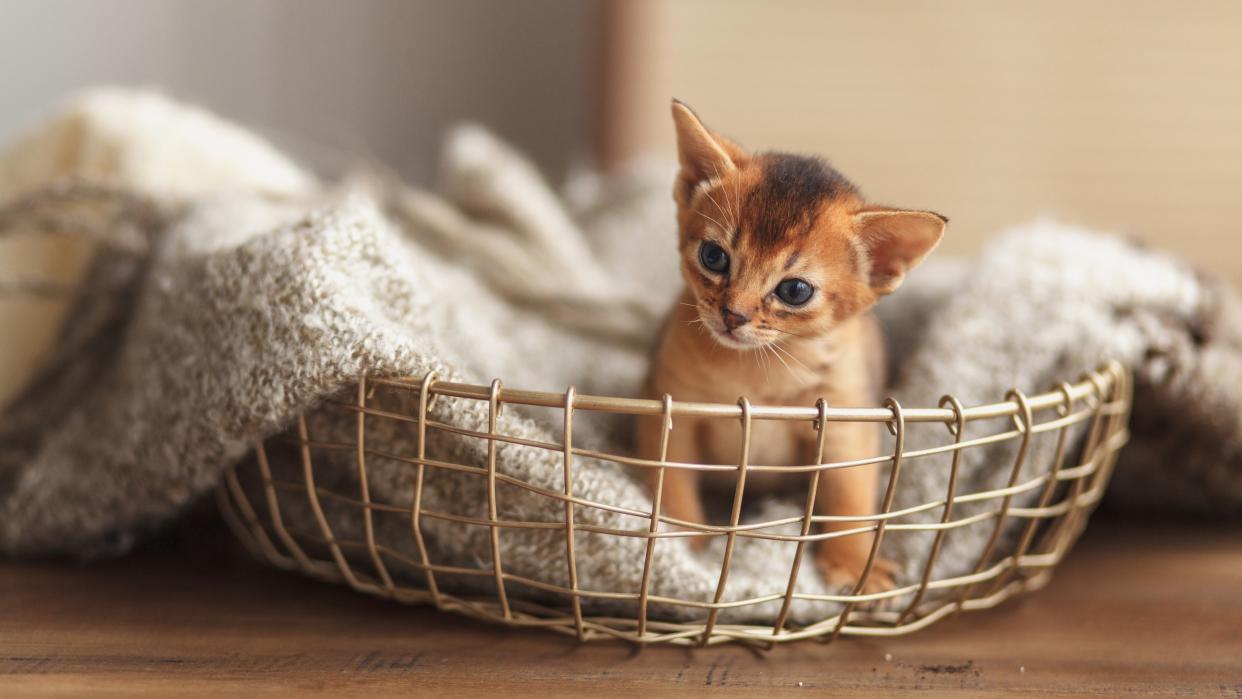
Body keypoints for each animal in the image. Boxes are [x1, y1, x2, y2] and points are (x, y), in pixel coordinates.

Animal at [640, 98, 938, 590]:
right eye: (713, 257)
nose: (733, 314)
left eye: (794, 291)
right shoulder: (673, 412)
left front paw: (854, 565)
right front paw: (683, 548)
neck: (759, 373)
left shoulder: (845, 424)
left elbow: (850, 497)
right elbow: (673, 486)